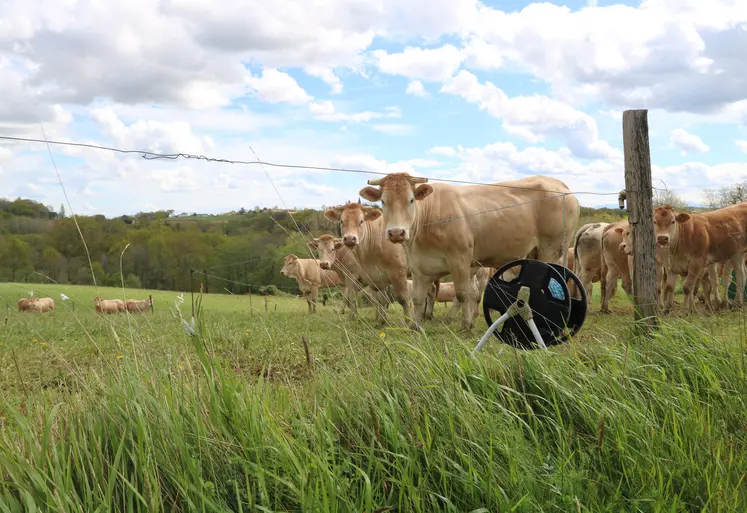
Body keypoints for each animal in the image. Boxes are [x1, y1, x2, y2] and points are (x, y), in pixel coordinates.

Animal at [360, 173, 580, 332]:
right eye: (383, 202)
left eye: (411, 200)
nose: (396, 232)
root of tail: (559, 184)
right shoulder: (419, 267)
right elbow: (417, 299)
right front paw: (415, 326)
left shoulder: (460, 259)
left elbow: (463, 293)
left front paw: (466, 325)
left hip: (551, 249)